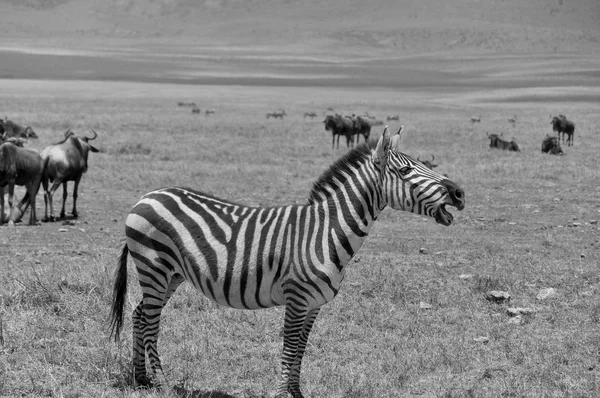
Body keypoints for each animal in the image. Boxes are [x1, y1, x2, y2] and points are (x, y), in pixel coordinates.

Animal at [111, 126, 464, 396]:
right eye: (405, 171)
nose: (459, 193)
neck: (326, 231)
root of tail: (146, 196)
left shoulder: (314, 304)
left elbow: (302, 348)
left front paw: (296, 392)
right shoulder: (297, 298)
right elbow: (291, 345)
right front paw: (283, 393)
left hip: (171, 274)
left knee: (139, 314)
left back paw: (141, 379)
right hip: (154, 267)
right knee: (151, 320)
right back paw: (162, 383)